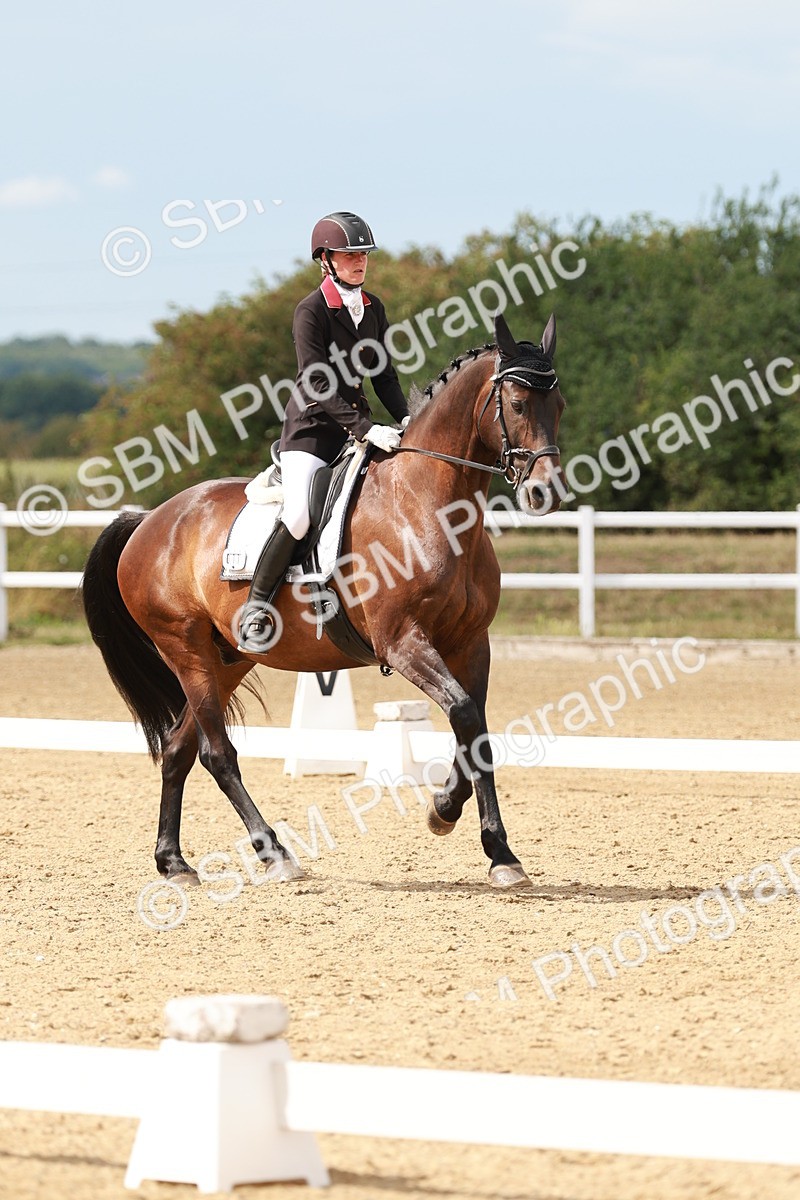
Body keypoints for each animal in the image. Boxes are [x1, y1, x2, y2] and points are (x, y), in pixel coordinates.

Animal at [82, 313, 565, 890]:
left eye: (560, 406)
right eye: (516, 404)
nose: (545, 494)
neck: (428, 504)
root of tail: (149, 520)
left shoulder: (471, 643)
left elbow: (478, 735)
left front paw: (500, 854)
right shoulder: (402, 642)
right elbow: (466, 715)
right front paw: (443, 812)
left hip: (228, 659)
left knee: (179, 750)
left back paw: (174, 862)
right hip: (186, 648)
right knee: (216, 752)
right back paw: (274, 853)